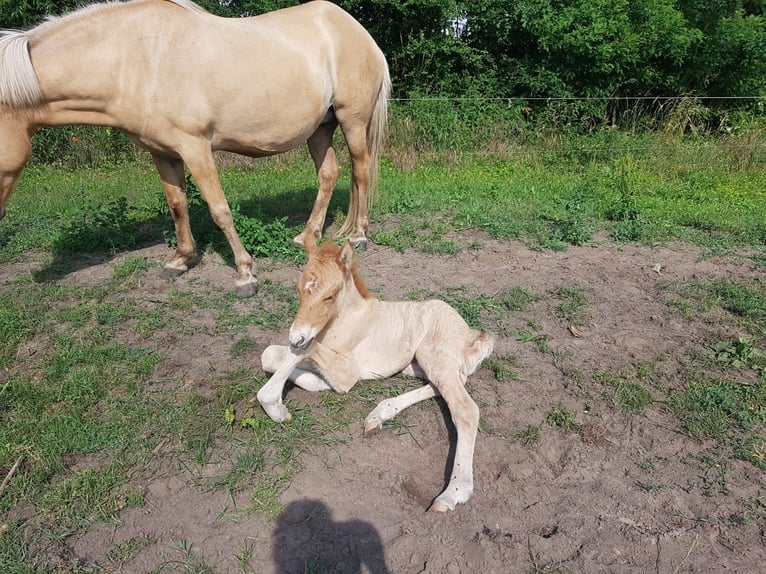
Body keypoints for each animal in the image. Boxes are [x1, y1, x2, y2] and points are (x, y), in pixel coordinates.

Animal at [0, 0, 390, 296]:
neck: (138, 58)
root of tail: (358, 31)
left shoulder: (195, 147)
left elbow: (219, 210)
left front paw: (245, 275)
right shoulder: (162, 151)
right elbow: (178, 204)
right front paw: (181, 260)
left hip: (352, 120)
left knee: (361, 170)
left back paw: (359, 236)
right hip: (319, 129)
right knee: (329, 174)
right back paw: (306, 236)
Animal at [256, 235, 498, 512]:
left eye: (330, 296)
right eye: (298, 289)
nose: (296, 336)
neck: (344, 321)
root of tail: (472, 334)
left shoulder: (348, 370)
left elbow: (307, 351)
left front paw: (273, 404)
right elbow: (272, 355)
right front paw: (311, 384)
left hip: (435, 357)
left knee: (465, 408)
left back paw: (453, 493)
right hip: (419, 364)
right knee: (444, 386)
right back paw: (378, 415)